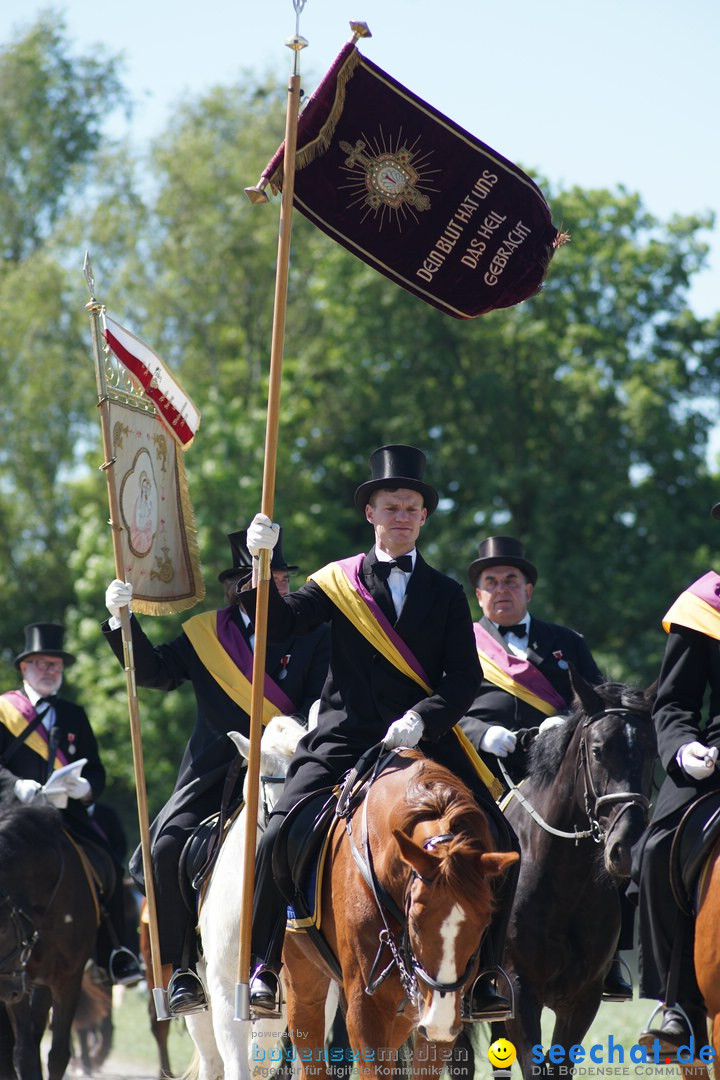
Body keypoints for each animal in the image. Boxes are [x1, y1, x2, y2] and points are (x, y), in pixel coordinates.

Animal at [0, 786, 99, 1080]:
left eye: (2, 926)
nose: (5, 990)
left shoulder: (68, 979)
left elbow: (58, 1055)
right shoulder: (18, 979)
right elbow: (25, 1054)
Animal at [280, 751, 518, 1080]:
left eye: (485, 923)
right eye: (415, 921)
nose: (438, 1019)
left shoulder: (438, 1019)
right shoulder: (365, 1009)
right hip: (303, 978)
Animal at [492, 673, 656, 1080]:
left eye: (652, 751)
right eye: (597, 750)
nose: (628, 847)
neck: (565, 880)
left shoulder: (582, 1000)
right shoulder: (520, 991)